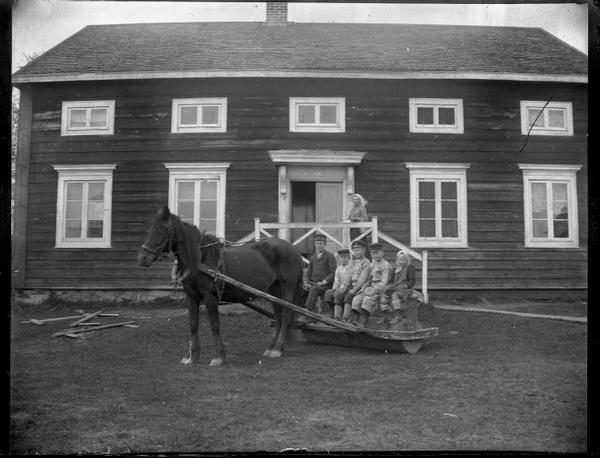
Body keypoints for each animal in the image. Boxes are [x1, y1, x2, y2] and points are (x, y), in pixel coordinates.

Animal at [137, 206, 304, 366]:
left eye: (164, 230)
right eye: (150, 229)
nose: (142, 258)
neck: (200, 259)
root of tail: (293, 249)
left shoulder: (210, 298)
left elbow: (214, 325)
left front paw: (219, 356)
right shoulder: (190, 296)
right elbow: (193, 324)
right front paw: (192, 356)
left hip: (287, 287)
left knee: (285, 315)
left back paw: (278, 348)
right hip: (273, 291)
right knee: (278, 316)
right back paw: (271, 347)